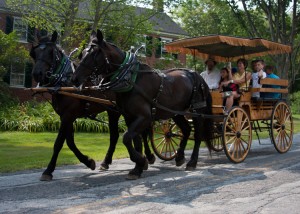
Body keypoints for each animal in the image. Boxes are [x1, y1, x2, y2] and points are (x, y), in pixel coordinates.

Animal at [30, 30, 155, 181]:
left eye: (50, 52)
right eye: (35, 53)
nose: (37, 74)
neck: (64, 82)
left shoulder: (68, 115)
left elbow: (59, 143)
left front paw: (48, 170)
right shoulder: (67, 117)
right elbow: (70, 142)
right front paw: (88, 161)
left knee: (142, 132)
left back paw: (148, 157)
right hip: (113, 111)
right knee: (116, 135)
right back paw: (107, 162)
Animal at [72, 30, 214, 180]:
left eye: (94, 54)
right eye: (82, 53)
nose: (74, 79)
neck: (131, 79)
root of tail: (194, 74)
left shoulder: (144, 117)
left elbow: (126, 138)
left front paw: (141, 160)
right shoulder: (130, 117)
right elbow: (135, 141)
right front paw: (138, 167)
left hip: (197, 110)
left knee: (198, 135)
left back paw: (192, 162)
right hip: (176, 112)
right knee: (186, 130)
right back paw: (180, 157)